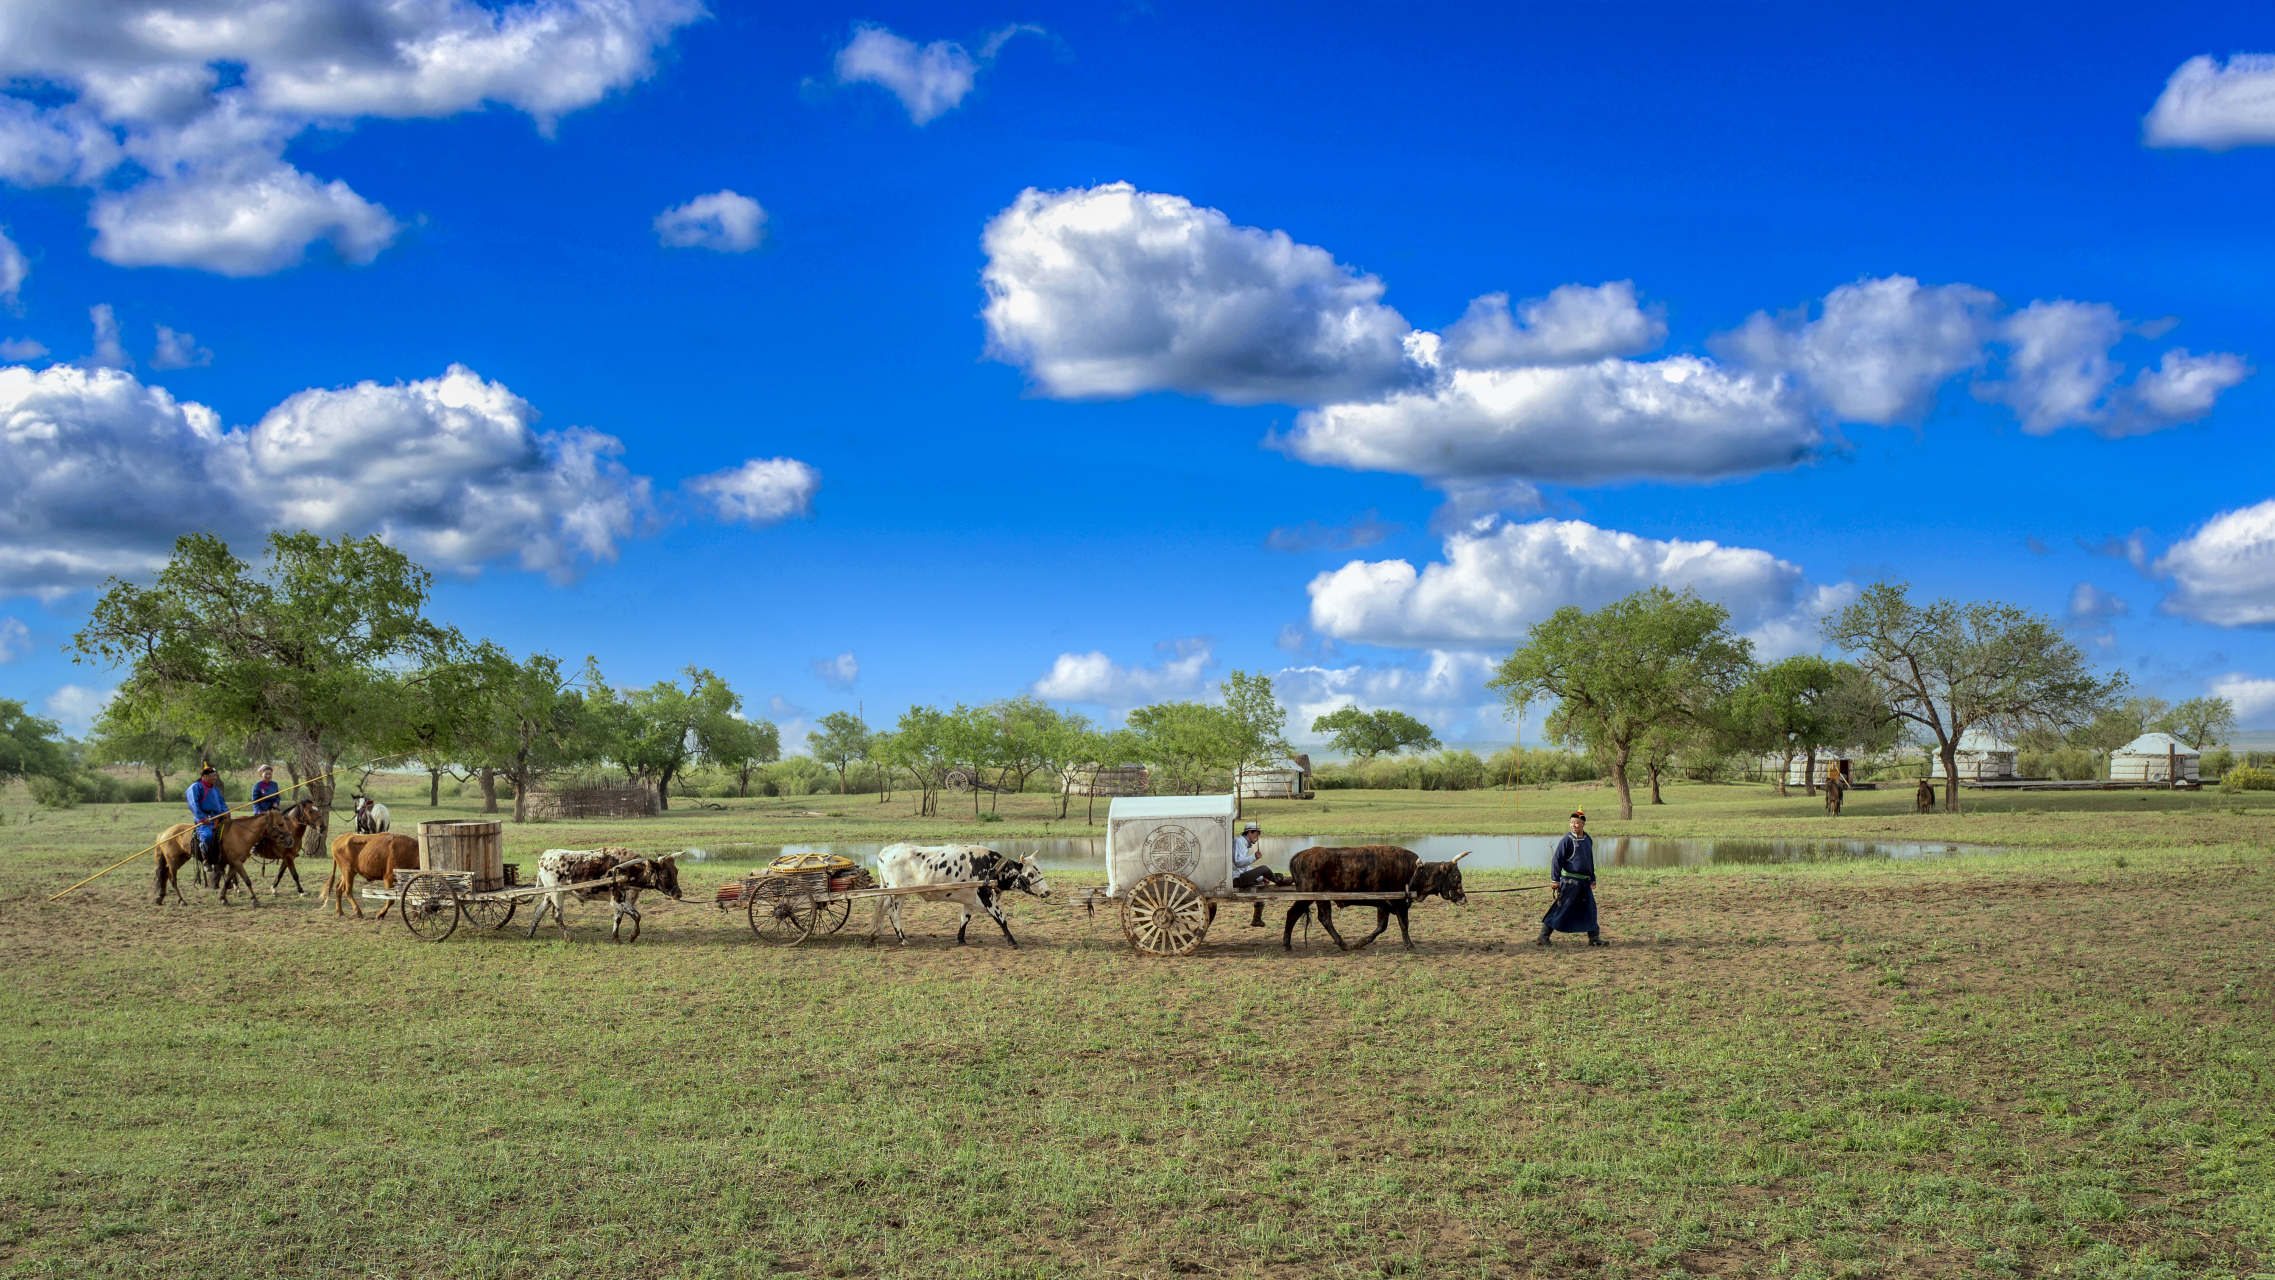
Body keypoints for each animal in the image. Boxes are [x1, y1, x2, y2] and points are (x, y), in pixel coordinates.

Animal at [151, 809, 295, 909]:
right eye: (280, 824)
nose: (290, 840)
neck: (241, 834)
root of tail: (164, 833)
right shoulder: (237, 862)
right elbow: (247, 880)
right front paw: (254, 900)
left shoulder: (234, 863)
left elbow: (227, 880)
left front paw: (223, 898)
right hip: (173, 861)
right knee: (172, 879)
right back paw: (182, 900)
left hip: (181, 859)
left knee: (164, 874)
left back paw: (160, 898)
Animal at [864, 845, 1051, 945]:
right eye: (1031, 873)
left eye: (1040, 869)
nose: (1048, 891)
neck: (991, 868)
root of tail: (886, 850)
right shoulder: (986, 897)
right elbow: (1001, 920)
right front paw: (1012, 941)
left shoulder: (970, 900)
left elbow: (964, 919)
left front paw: (961, 939)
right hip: (898, 894)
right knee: (893, 914)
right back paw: (902, 939)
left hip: (891, 893)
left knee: (883, 910)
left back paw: (876, 933)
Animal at [1283, 845, 1474, 954]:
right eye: (1456, 876)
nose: (1464, 898)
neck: (1415, 871)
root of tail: (1299, 855)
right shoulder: (1399, 903)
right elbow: (1404, 924)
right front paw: (1409, 945)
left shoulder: (1384, 905)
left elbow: (1381, 927)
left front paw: (1361, 942)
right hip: (1306, 897)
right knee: (1292, 914)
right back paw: (1287, 944)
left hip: (1321, 899)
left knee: (1324, 919)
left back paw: (1343, 944)